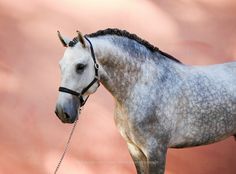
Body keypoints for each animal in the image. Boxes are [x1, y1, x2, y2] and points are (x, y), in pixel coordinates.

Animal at [54, 28, 236, 174]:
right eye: (60, 66)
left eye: (80, 66)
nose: (62, 112)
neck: (142, 86)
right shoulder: (134, 149)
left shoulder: (156, 152)